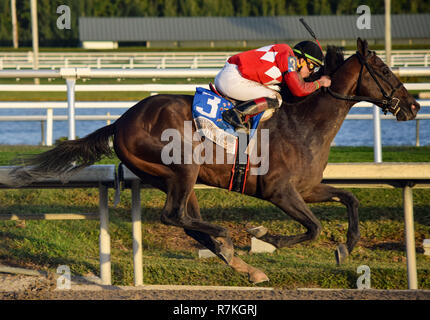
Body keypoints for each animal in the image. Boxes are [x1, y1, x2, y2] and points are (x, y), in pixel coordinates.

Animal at [9, 39, 420, 282]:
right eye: (384, 71)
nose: (414, 106)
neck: (304, 122)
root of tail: (122, 120)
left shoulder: (307, 187)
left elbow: (350, 199)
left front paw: (346, 246)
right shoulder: (280, 192)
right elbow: (315, 227)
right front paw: (265, 235)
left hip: (178, 178)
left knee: (186, 220)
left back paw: (239, 261)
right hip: (182, 167)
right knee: (173, 216)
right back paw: (227, 239)